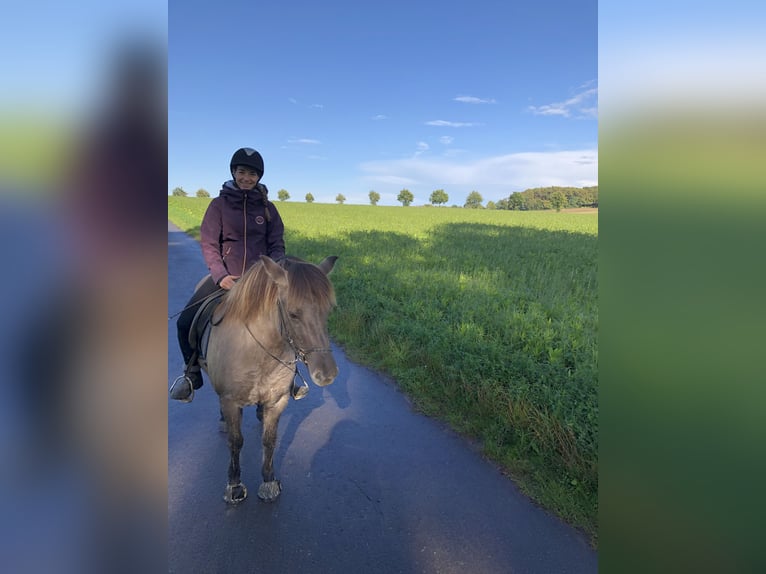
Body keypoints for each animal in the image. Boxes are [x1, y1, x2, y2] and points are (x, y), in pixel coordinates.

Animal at [203, 254, 338, 504]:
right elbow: (236, 442)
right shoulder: (230, 401)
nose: (327, 375)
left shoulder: (277, 401)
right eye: (293, 314)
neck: (257, 352)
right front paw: (234, 485)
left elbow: (269, 440)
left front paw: (269, 481)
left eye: (327, 311)